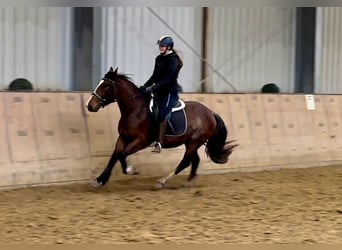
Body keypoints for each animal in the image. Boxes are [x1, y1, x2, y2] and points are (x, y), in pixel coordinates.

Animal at [85, 66, 238, 188]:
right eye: (99, 83)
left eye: (105, 86)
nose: (89, 105)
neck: (134, 111)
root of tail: (211, 113)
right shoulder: (122, 138)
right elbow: (114, 156)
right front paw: (100, 180)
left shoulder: (141, 141)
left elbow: (122, 154)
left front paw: (130, 170)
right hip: (190, 142)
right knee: (194, 161)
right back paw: (189, 181)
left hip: (195, 142)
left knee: (185, 162)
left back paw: (162, 181)